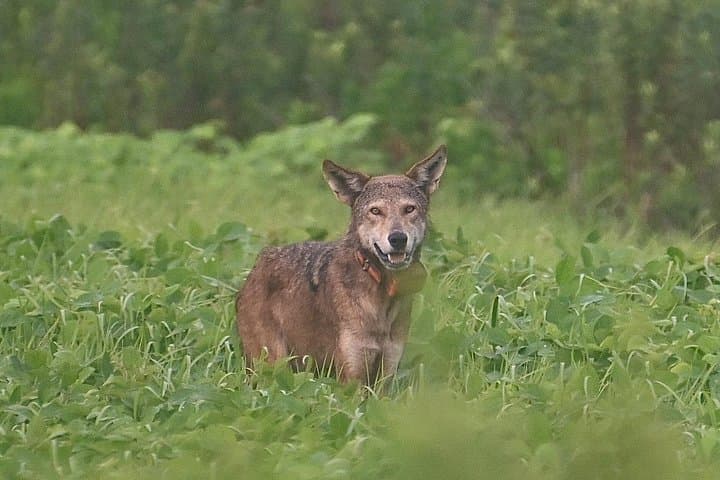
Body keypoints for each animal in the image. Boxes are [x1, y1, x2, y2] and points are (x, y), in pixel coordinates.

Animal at [236, 145, 447, 385]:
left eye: (409, 209)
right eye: (375, 211)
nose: (398, 238)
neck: (382, 296)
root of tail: (259, 261)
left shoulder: (386, 375)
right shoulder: (351, 378)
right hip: (273, 368)